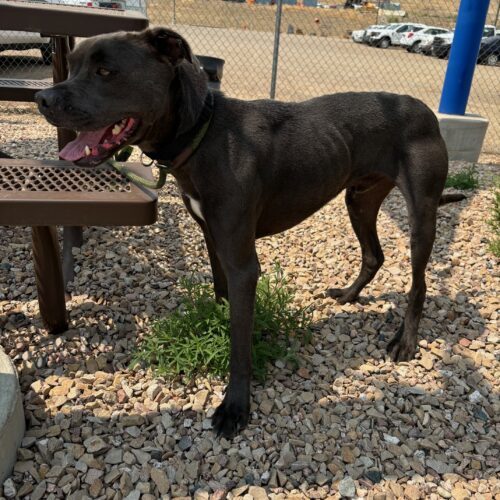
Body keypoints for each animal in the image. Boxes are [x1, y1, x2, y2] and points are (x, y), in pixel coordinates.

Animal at [36, 26, 460, 438]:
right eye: (72, 66)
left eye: (106, 71)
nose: (42, 98)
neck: (203, 133)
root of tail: (426, 110)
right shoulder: (214, 239)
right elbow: (223, 297)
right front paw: (218, 328)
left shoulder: (243, 264)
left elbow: (240, 343)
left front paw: (235, 407)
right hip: (359, 199)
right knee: (374, 254)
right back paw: (349, 295)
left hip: (421, 214)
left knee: (419, 283)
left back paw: (405, 341)